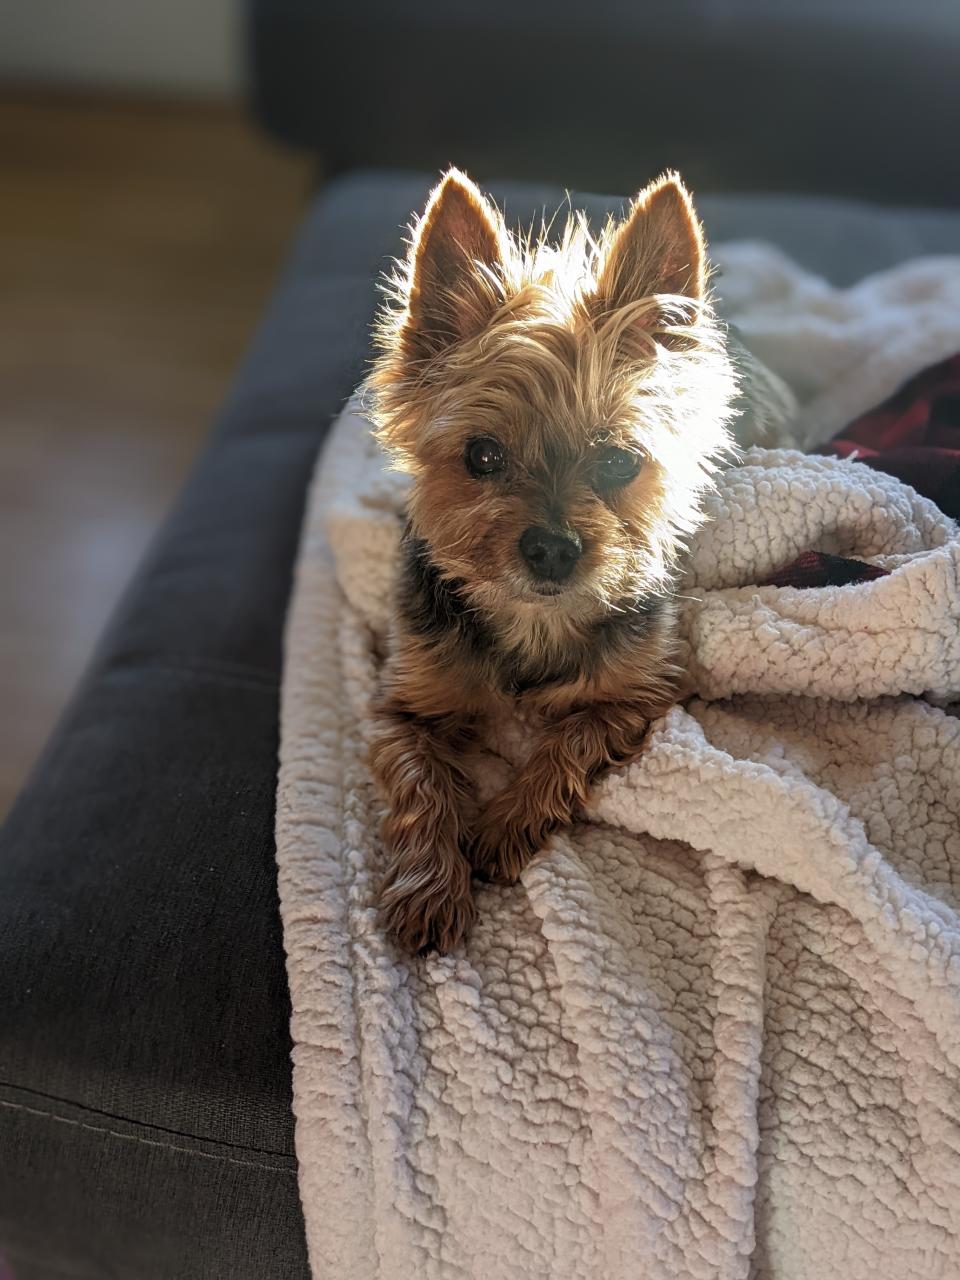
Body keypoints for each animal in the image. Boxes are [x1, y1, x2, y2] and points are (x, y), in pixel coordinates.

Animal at [363, 167, 742, 952]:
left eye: (618, 461)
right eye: (482, 455)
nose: (551, 548)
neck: (532, 619)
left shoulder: (639, 692)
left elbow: (570, 739)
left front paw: (503, 825)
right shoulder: (400, 702)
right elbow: (420, 780)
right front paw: (428, 886)